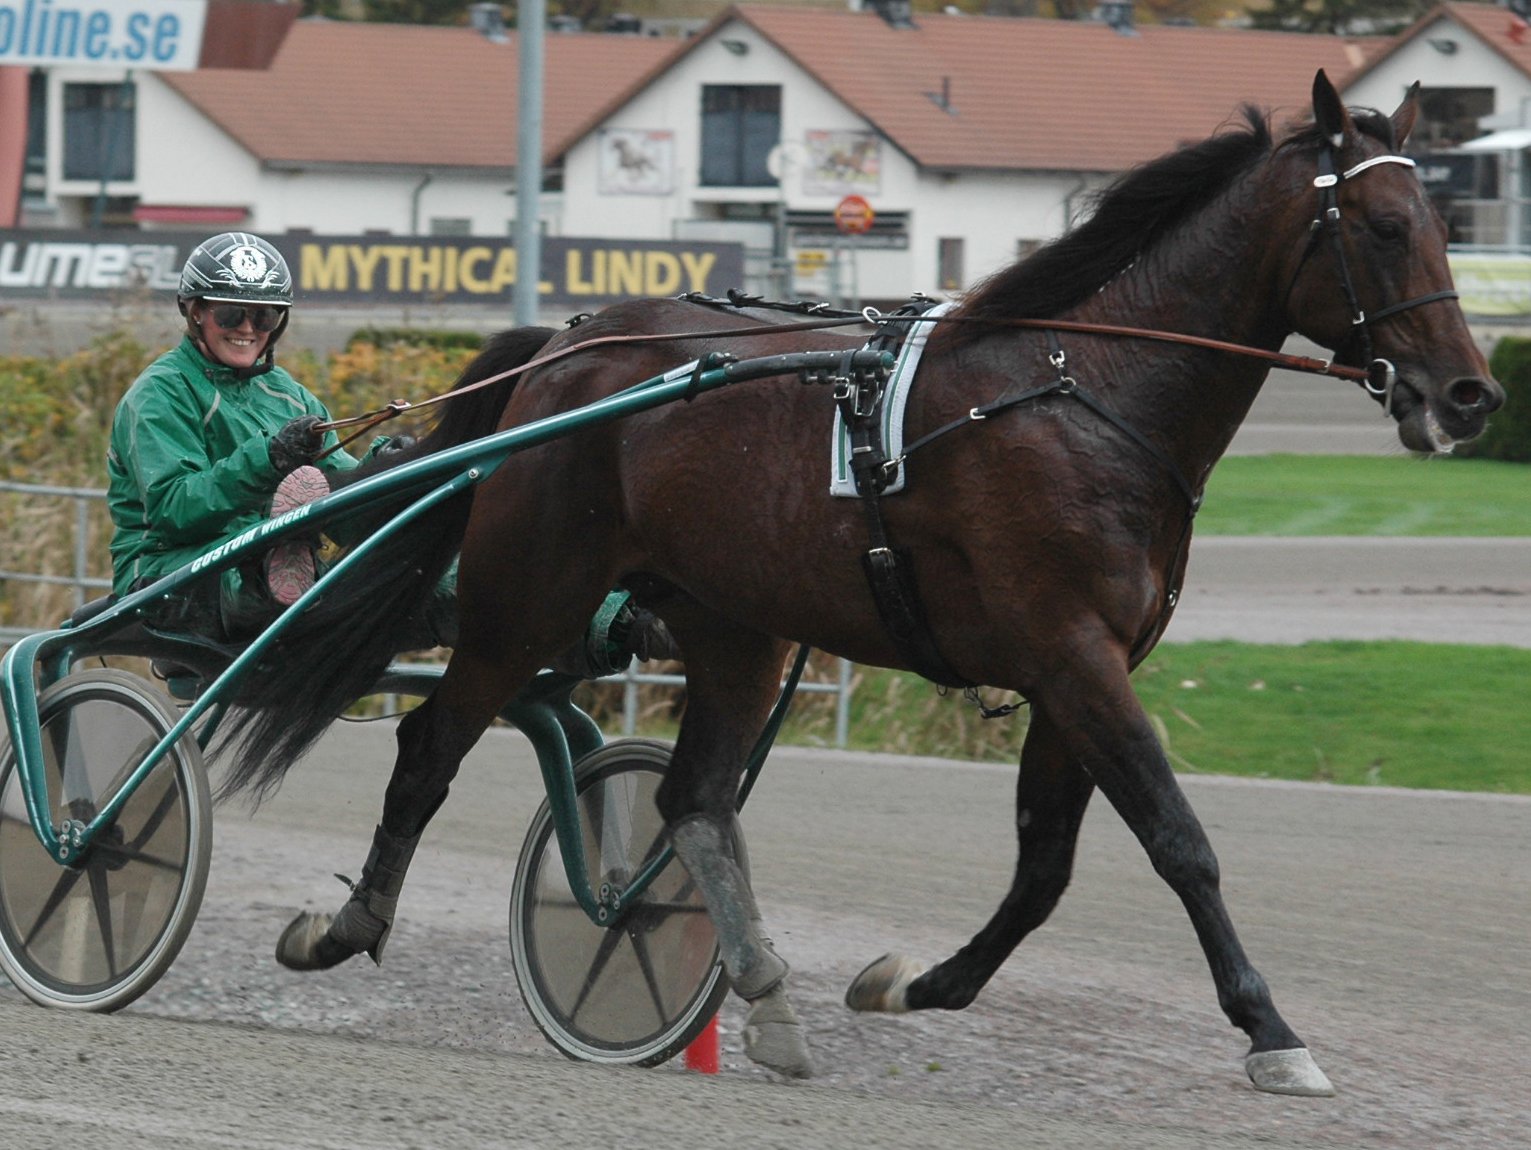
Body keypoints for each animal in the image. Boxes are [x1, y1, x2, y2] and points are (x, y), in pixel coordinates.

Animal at [235, 71, 1494, 1096]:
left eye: (1445, 226)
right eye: (1386, 226)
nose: (1471, 394)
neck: (1082, 389)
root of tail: (572, 348)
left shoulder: (1076, 669)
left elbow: (1043, 867)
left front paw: (909, 981)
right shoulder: (1070, 653)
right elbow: (1176, 839)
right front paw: (1271, 1030)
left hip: (735, 627)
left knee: (693, 799)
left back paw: (765, 999)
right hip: (526, 598)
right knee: (429, 745)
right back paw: (344, 925)